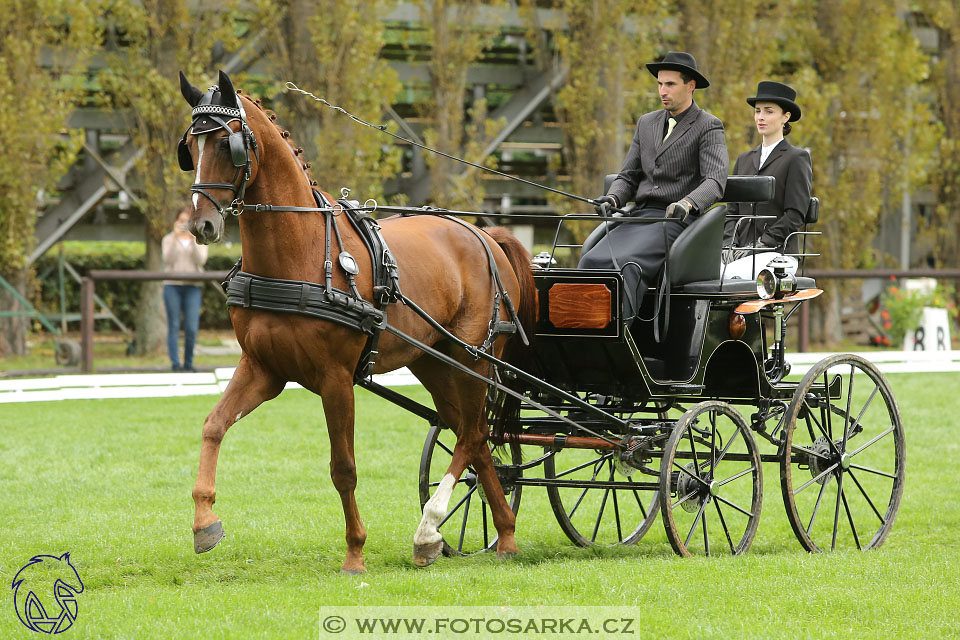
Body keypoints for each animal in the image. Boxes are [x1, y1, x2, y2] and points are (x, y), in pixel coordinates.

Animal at [176, 71, 536, 576]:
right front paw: (204, 522)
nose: (201, 225)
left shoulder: (335, 379)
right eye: (190, 145)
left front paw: (355, 552)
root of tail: (485, 233)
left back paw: (430, 527)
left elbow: (343, 468)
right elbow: (213, 425)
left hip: (475, 358)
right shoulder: (263, 369)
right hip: (435, 362)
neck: (303, 251)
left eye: (230, 147)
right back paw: (501, 535)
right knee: (474, 435)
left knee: (472, 433)